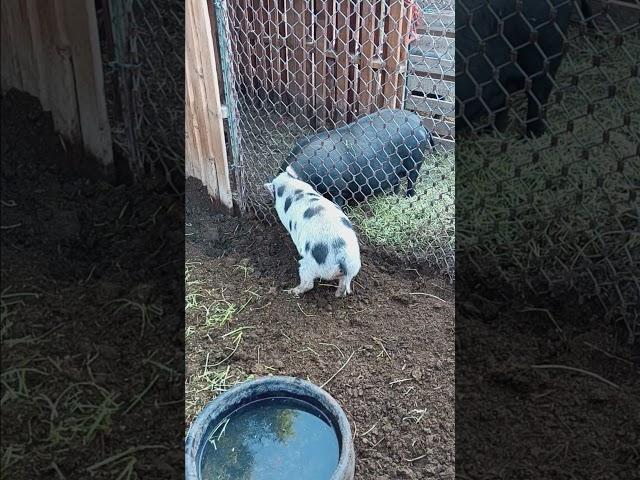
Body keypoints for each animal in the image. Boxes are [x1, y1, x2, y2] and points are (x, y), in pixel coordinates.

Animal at [278, 109, 432, 207]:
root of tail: (419, 122)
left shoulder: (338, 186)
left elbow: (338, 202)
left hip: (416, 159)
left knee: (412, 179)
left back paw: (408, 197)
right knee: (397, 181)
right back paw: (391, 196)